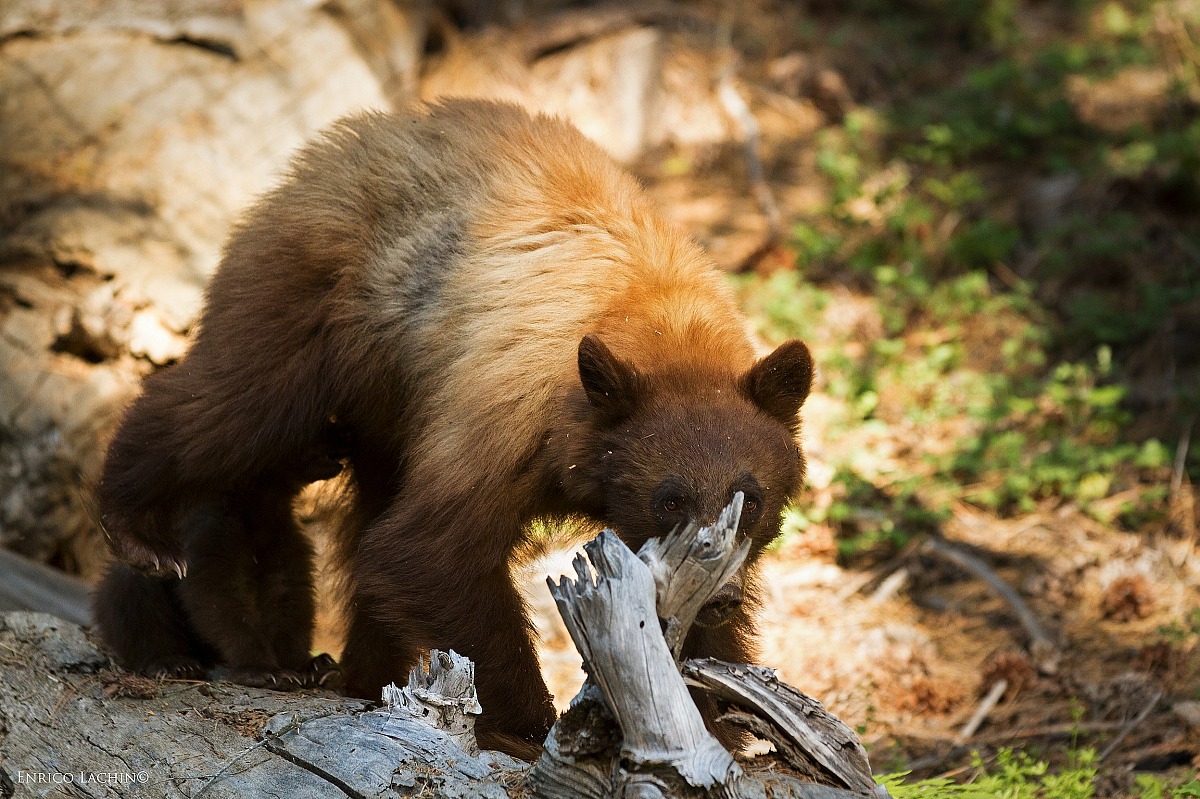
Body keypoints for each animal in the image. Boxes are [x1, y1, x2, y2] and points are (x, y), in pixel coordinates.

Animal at [93, 99, 814, 756]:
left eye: (752, 499)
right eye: (668, 498)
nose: (722, 597)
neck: (665, 327)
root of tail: (324, 154)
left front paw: (715, 712)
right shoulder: (509, 406)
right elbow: (428, 550)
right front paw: (531, 723)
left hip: (387, 407)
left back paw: (362, 676)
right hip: (312, 307)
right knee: (229, 404)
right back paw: (135, 526)